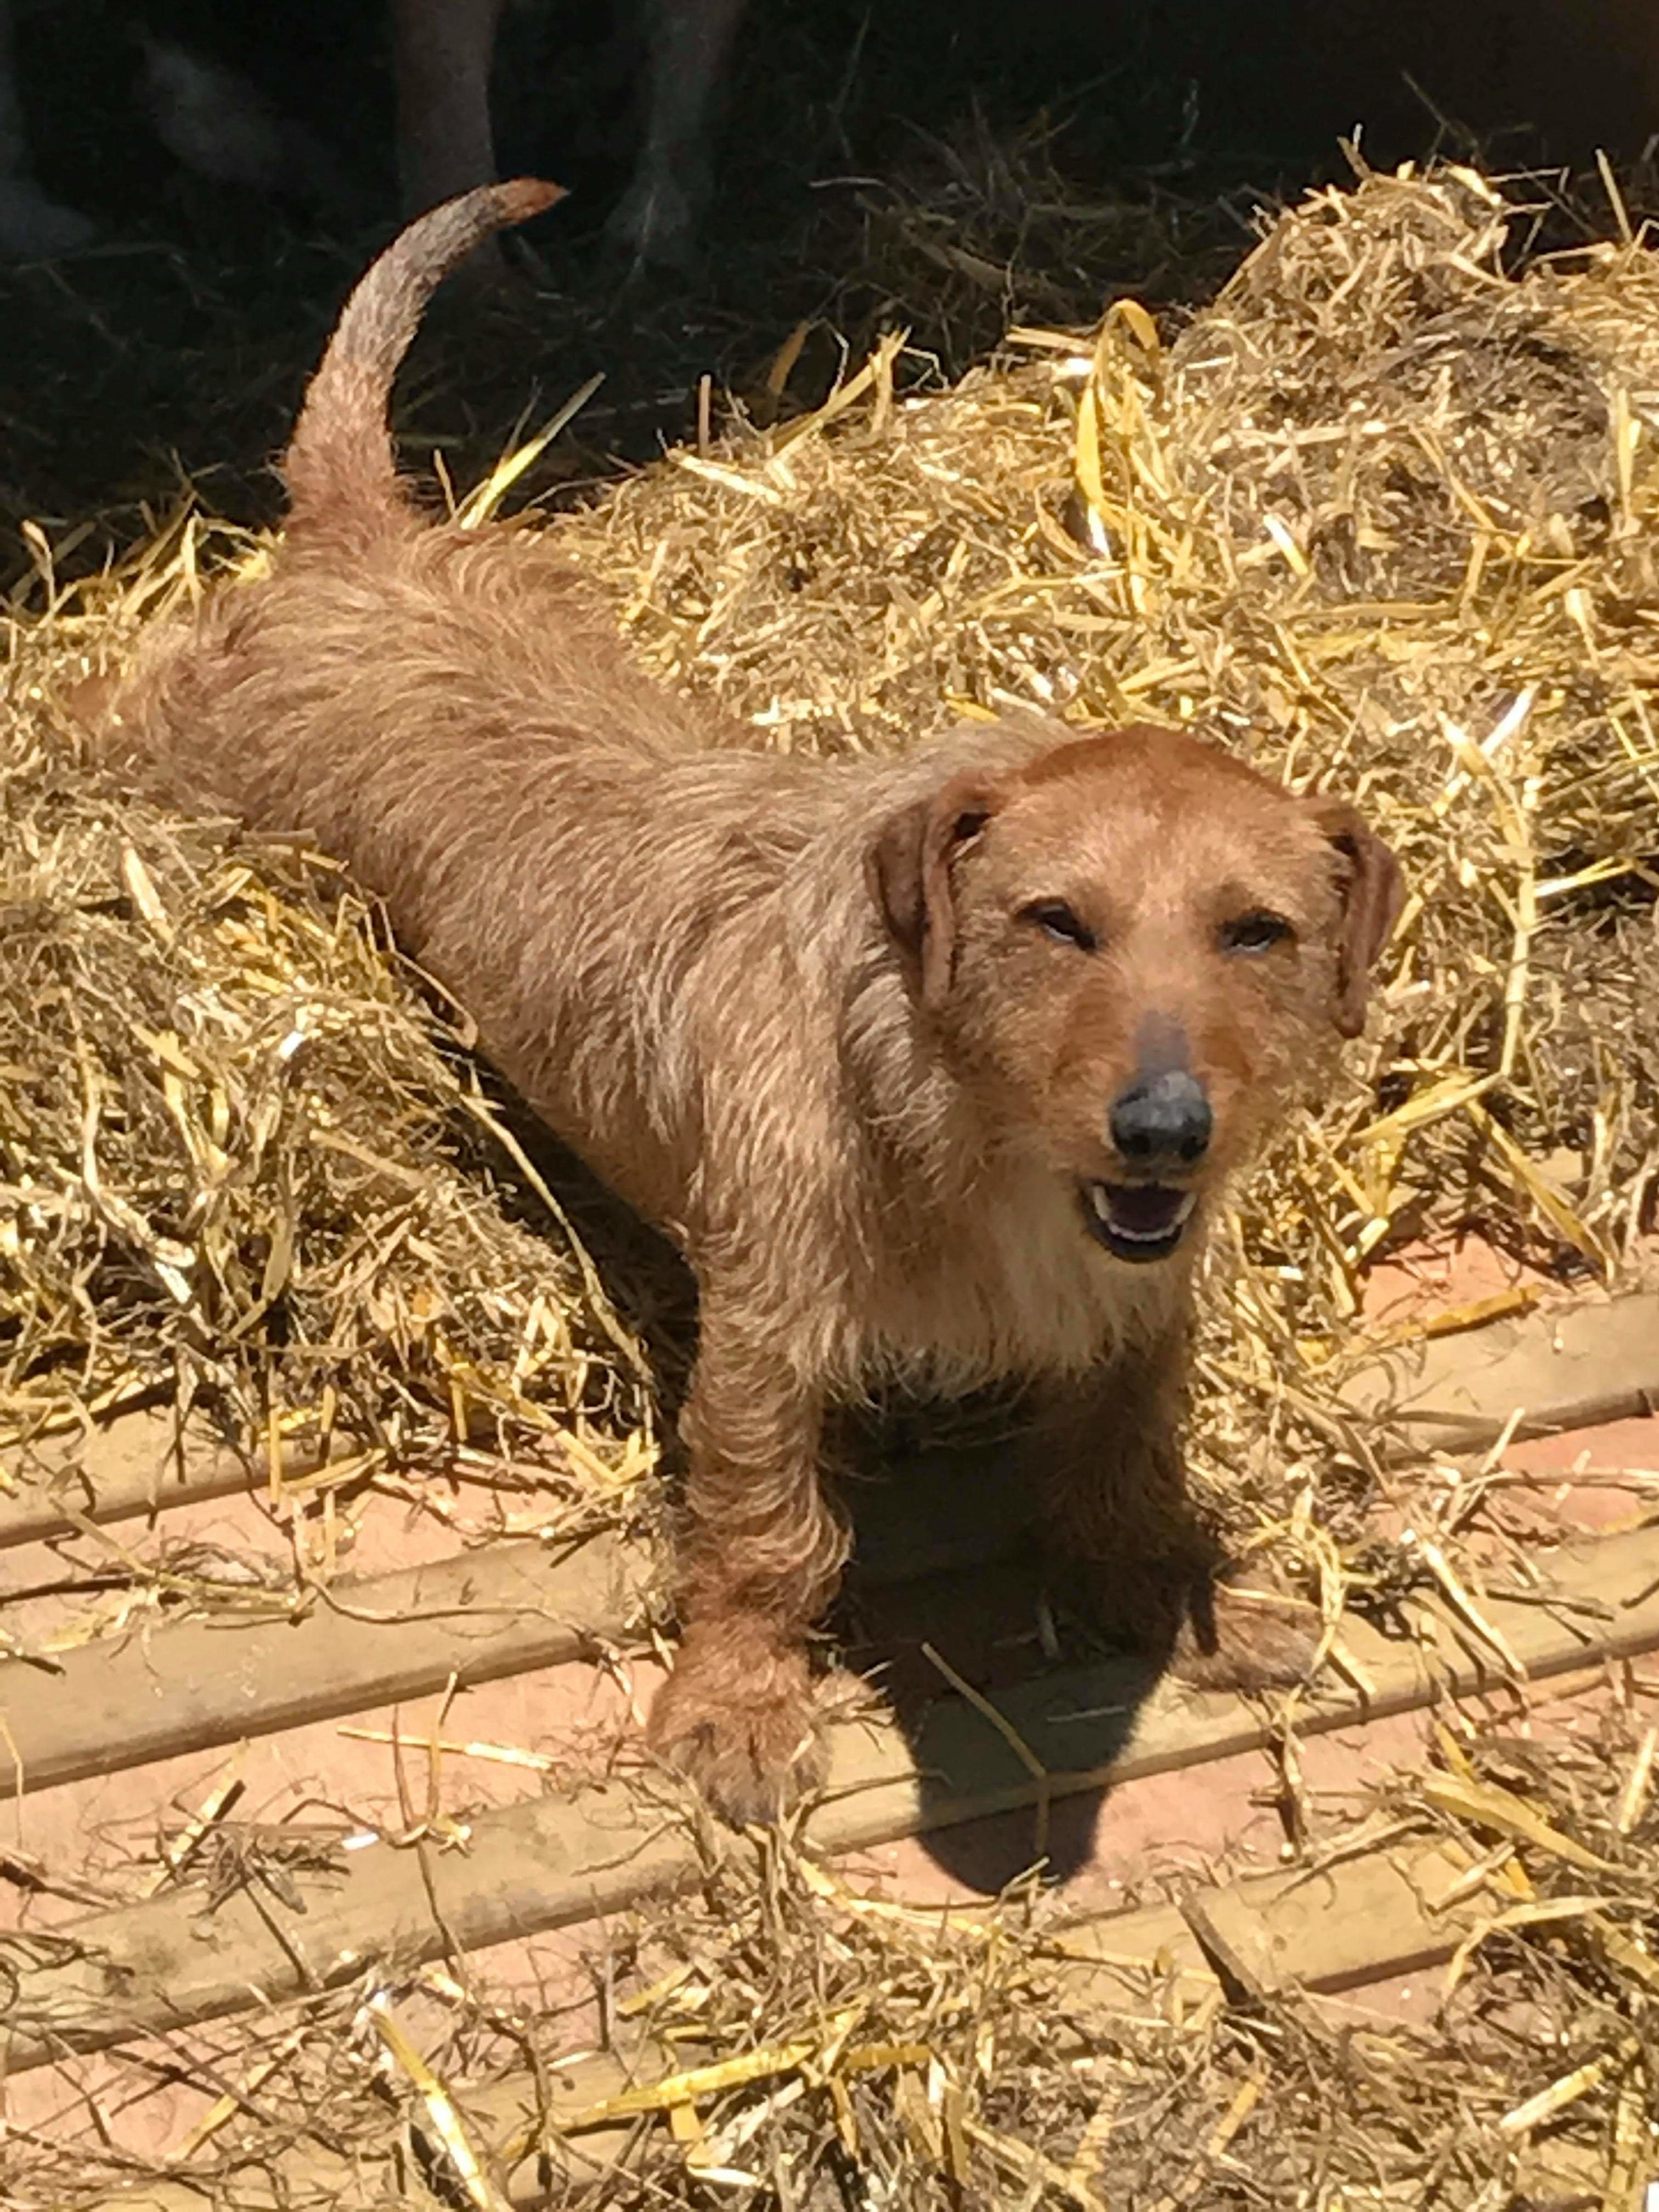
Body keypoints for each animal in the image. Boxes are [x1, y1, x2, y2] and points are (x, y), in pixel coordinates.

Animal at [100, 181, 1407, 1822]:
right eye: (1057, 922)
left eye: (1257, 932)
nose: (1167, 1129)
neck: (964, 1140)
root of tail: (360, 551)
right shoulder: (767, 1332)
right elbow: (767, 1527)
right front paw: (734, 1702)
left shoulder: (1140, 1307)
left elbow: (1126, 1462)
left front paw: (1183, 1595)